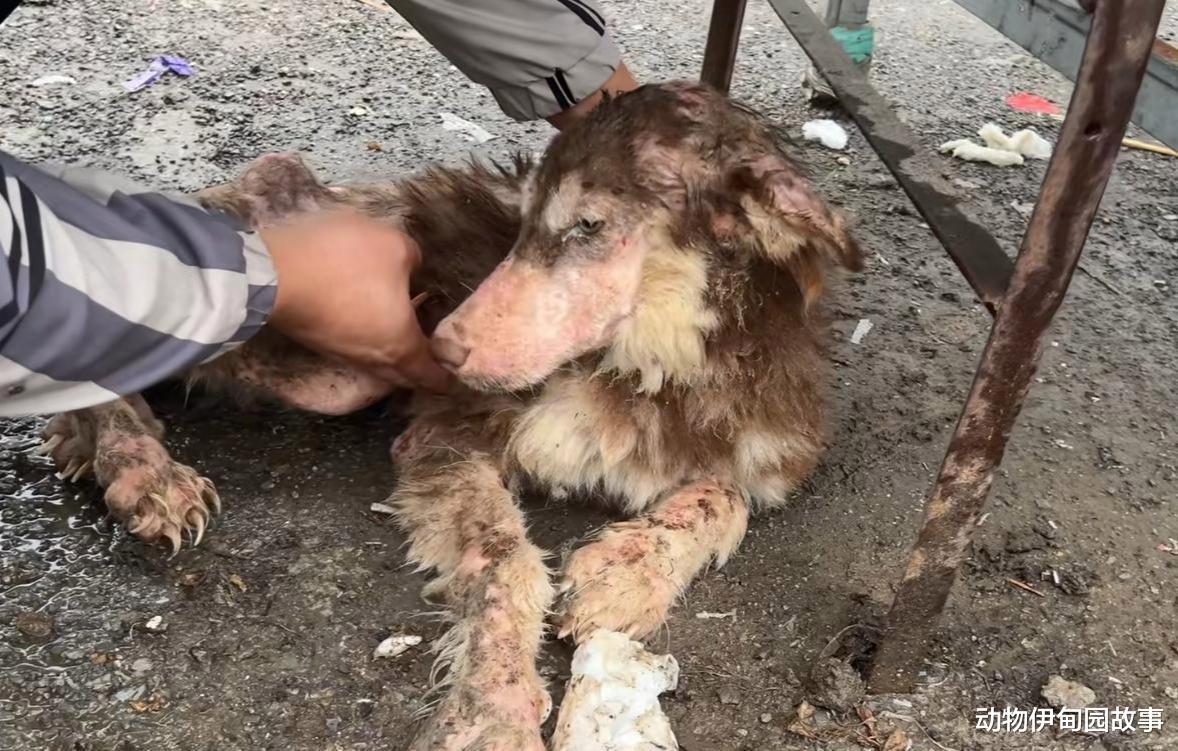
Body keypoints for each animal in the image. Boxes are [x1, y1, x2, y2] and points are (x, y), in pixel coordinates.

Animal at [35, 81, 862, 750]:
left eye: (588, 225)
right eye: (524, 220)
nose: (440, 343)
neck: (651, 371)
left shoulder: (770, 443)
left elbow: (726, 498)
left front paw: (628, 571)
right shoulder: (447, 432)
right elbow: (505, 561)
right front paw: (494, 706)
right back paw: (141, 468)